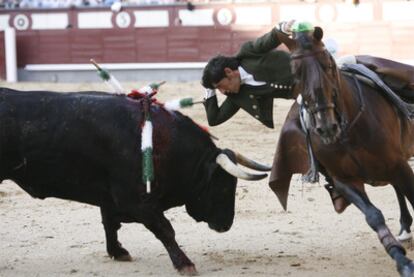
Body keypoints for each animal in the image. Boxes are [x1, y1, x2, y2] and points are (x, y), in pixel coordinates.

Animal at [0, 88, 268, 274]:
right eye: (223, 187)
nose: (225, 225)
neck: (163, 142)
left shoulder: (110, 197)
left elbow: (109, 224)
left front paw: (117, 252)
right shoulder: (136, 200)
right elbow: (165, 229)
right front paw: (185, 264)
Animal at [278, 25, 414, 274]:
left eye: (328, 64)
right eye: (296, 72)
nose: (326, 127)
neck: (347, 132)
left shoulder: (398, 164)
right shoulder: (344, 180)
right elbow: (373, 216)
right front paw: (402, 261)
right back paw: (405, 228)